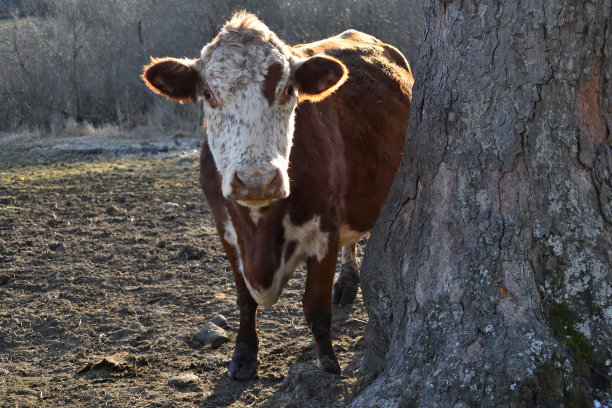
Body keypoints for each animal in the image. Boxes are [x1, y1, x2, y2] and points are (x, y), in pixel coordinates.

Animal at [142, 10, 412, 380]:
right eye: (208, 93)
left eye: (288, 89)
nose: (256, 180)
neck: (261, 229)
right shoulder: (227, 231)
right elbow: (244, 299)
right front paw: (243, 355)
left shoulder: (325, 228)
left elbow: (315, 306)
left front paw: (327, 365)